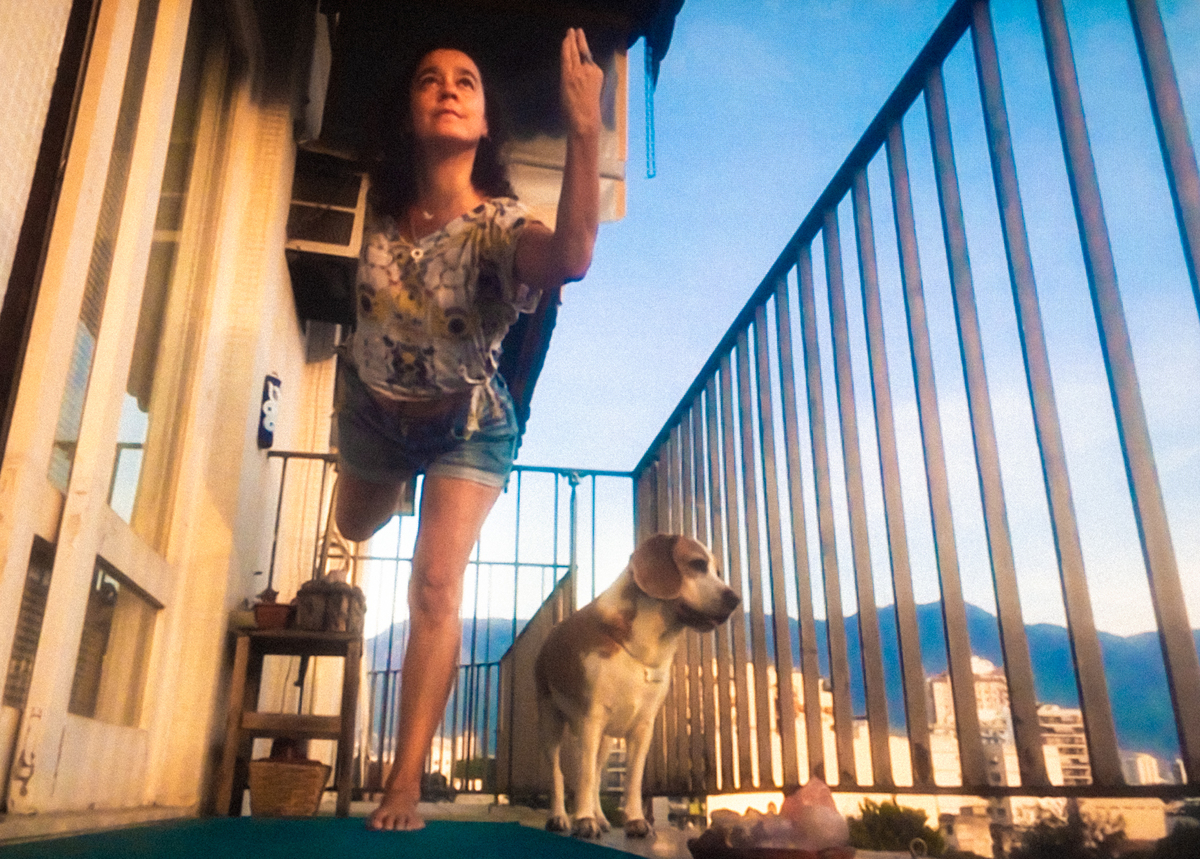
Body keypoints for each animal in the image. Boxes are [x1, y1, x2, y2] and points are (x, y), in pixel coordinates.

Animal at [534, 533, 740, 838]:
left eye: (717, 572)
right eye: (697, 564)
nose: (735, 599)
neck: (644, 648)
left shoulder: (642, 727)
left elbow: (632, 777)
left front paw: (633, 820)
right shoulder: (591, 720)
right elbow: (583, 776)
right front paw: (584, 820)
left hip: (606, 741)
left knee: (597, 774)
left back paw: (600, 817)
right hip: (551, 725)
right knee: (559, 775)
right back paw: (560, 817)